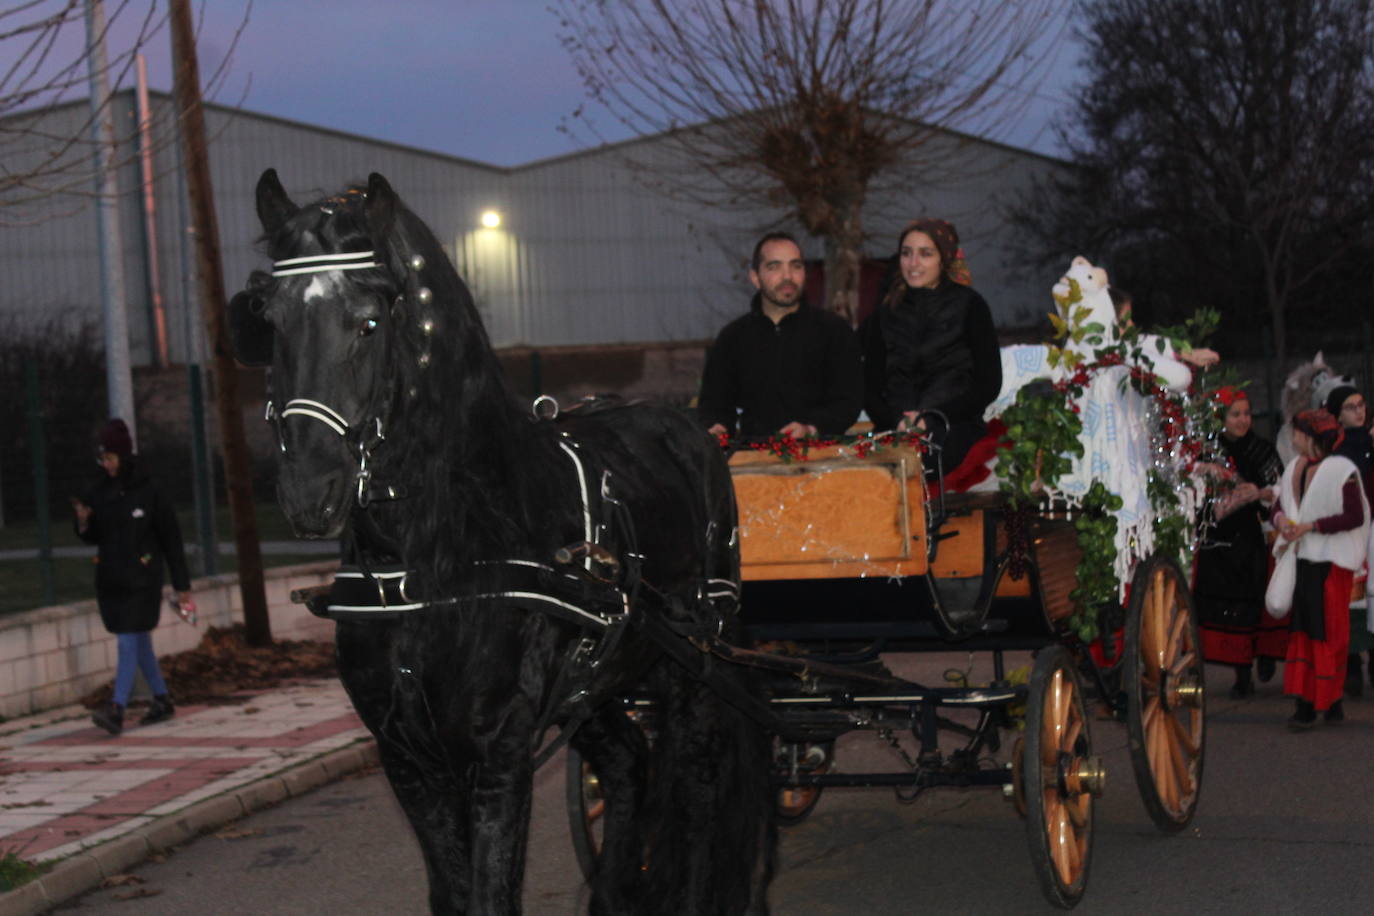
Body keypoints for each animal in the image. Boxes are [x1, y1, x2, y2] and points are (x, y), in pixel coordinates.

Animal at [234, 170, 774, 911]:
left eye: (369, 321)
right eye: (272, 323)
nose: (310, 488)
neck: (423, 566)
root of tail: (689, 426)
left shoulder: (497, 755)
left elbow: (492, 896)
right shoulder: (408, 760)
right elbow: (452, 893)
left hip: (692, 667)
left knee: (697, 790)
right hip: (595, 689)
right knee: (629, 765)